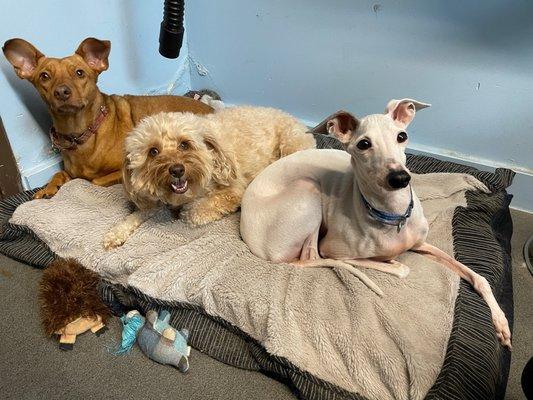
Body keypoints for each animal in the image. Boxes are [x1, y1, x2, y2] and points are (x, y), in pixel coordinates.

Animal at [4, 37, 213, 198]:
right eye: (44, 76)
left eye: (79, 73)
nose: (62, 92)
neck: (80, 134)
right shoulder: (70, 170)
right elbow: (59, 174)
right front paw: (47, 188)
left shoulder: (122, 170)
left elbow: (94, 180)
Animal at [102, 106, 314, 250]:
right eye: (153, 151)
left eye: (184, 144)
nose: (177, 170)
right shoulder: (157, 201)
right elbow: (137, 214)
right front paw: (115, 233)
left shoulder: (233, 192)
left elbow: (193, 212)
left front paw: (187, 211)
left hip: (290, 146)